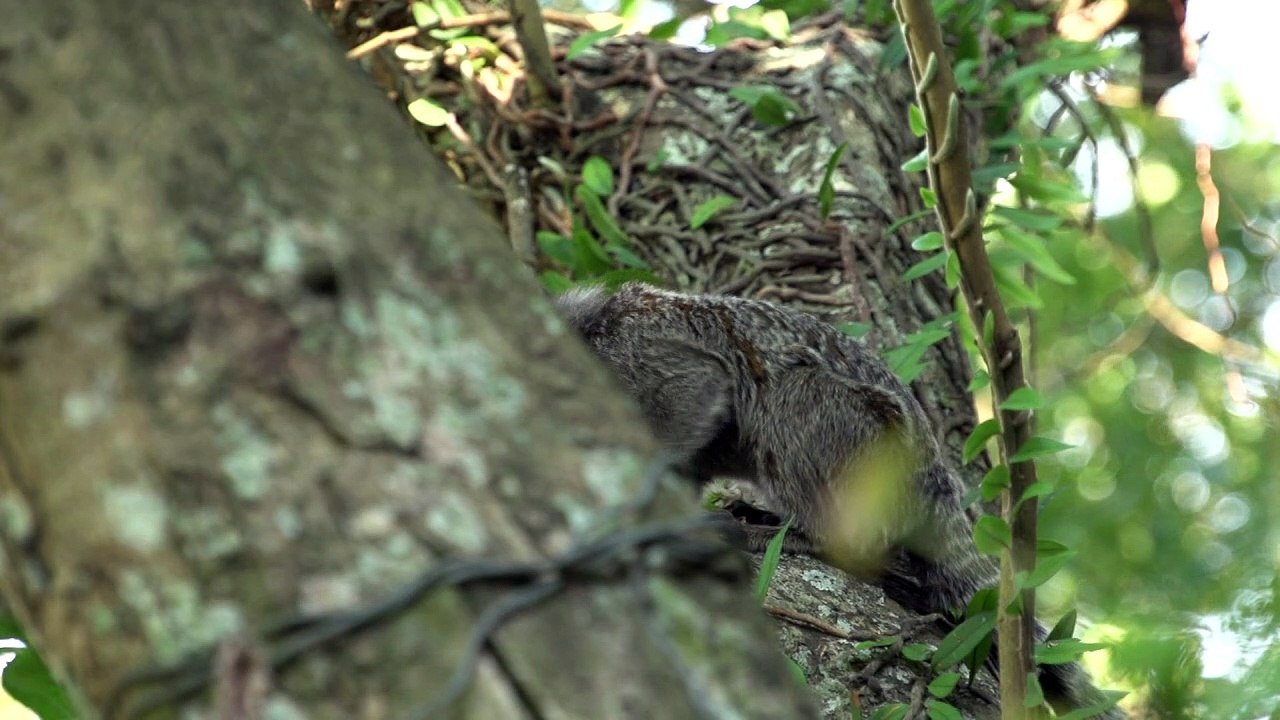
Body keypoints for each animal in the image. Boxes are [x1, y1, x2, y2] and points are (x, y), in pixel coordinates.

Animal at [555, 282, 1124, 719]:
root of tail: (932, 472)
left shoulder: (639, 356)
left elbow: (698, 392)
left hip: (868, 437)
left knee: (789, 397)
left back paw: (792, 534)